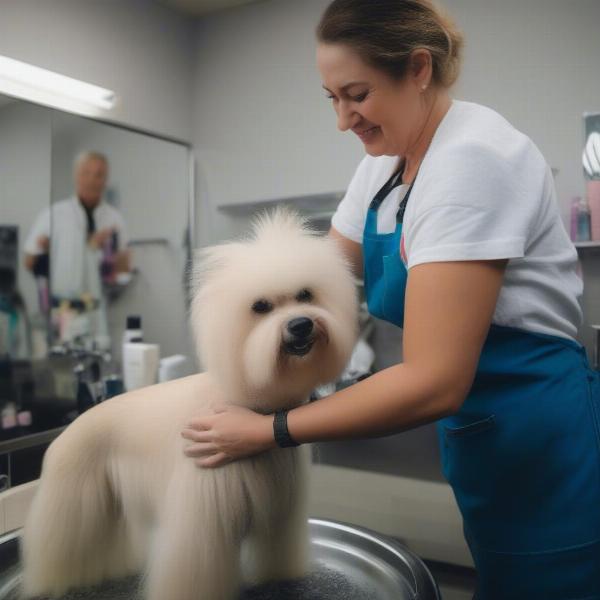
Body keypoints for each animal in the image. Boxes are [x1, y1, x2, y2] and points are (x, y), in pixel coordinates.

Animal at [21, 209, 358, 600]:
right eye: (260, 306)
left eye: (306, 293)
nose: (301, 325)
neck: (246, 403)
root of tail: (69, 430)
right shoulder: (202, 523)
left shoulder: (281, 514)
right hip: (73, 502)